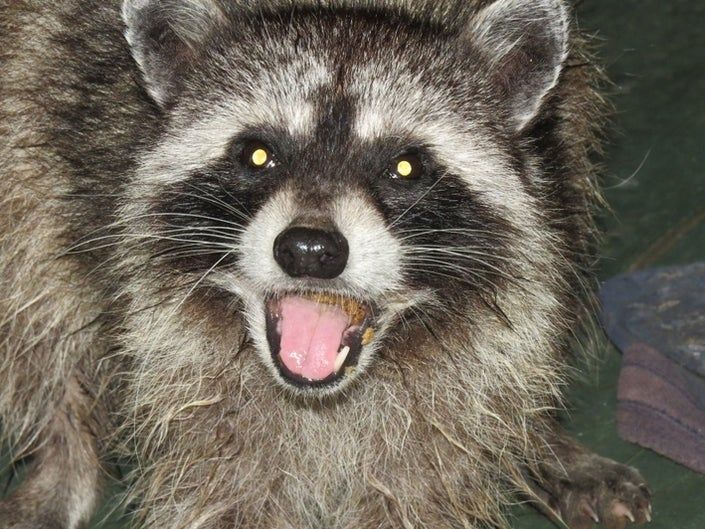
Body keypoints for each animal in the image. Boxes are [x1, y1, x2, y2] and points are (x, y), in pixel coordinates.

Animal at [0, 1, 652, 528]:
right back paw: (66, 456)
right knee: (36, 293)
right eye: (256, 154)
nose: (310, 250)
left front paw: (529, 434)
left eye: (405, 166)